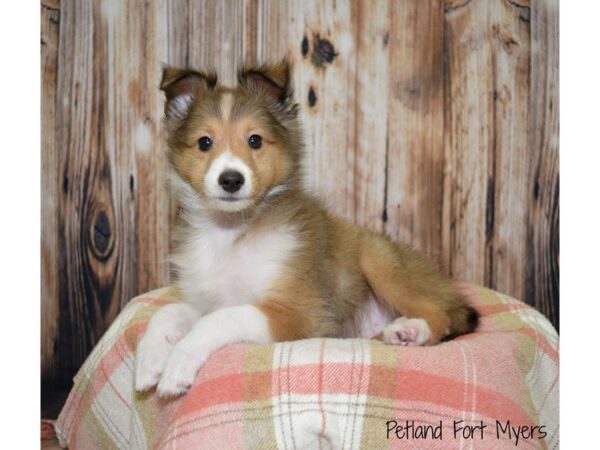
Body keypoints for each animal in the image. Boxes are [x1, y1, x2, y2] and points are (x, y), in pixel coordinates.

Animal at [135, 57, 478, 398]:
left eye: (255, 140)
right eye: (204, 142)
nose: (231, 180)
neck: (232, 233)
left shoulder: (299, 313)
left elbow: (221, 319)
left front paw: (178, 364)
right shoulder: (205, 300)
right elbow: (169, 312)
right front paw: (149, 361)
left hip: (380, 261)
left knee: (443, 312)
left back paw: (411, 330)